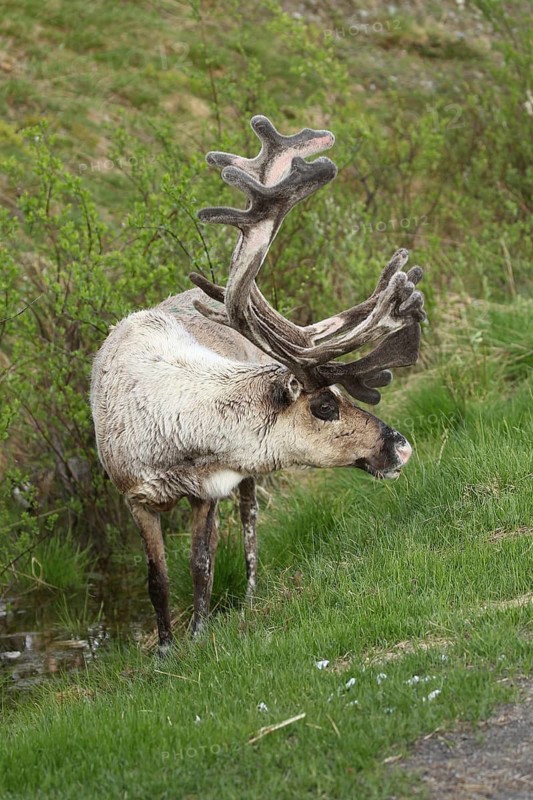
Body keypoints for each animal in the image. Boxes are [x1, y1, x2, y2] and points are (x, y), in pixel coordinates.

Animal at [90, 115, 426, 654]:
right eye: (325, 407)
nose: (401, 446)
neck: (175, 432)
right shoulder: (135, 496)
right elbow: (156, 578)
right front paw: (165, 648)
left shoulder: (206, 490)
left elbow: (201, 566)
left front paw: (200, 633)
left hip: (244, 484)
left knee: (249, 519)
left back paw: (249, 592)